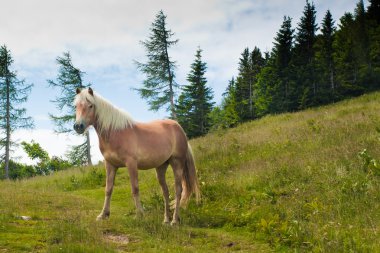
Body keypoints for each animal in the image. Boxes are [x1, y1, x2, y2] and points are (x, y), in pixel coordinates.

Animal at [72, 87, 200, 225]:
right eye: (76, 106)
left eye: (90, 105)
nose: (78, 126)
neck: (115, 133)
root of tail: (179, 128)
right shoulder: (110, 164)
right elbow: (108, 189)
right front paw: (103, 215)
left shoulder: (131, 163)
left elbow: (135, 188)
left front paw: (139, 214)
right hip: (161, 167)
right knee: (165, 191)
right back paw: (166, 220)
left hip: (177, 163)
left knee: (178, 190)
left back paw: (175, 221)